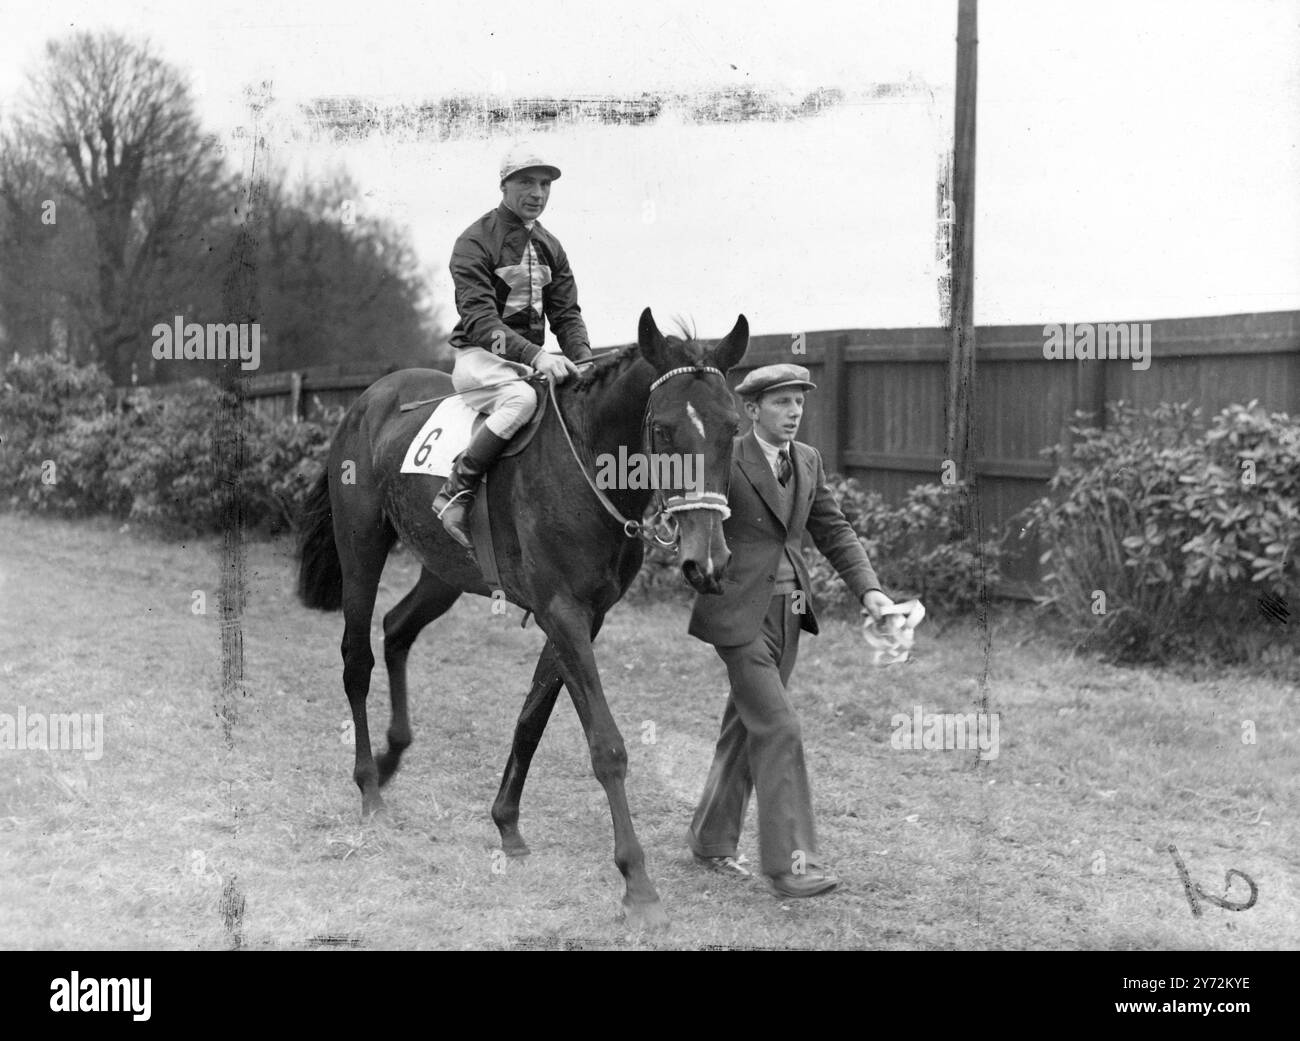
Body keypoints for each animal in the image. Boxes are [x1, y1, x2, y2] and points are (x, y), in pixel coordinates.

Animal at [291, 306, 748, 925]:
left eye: (733, 427)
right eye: (663, 430)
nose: (708, 560)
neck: (586, 463)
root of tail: (372, 396)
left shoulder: (583, 617)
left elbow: (533, 717)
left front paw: (506, 824)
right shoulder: (563, 614)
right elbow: (607, 746)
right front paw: (637, 882)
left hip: (443, 573)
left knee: (396, 631)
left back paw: (392, 755)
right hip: (361, 549)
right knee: (356, 659)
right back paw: (369, 788)